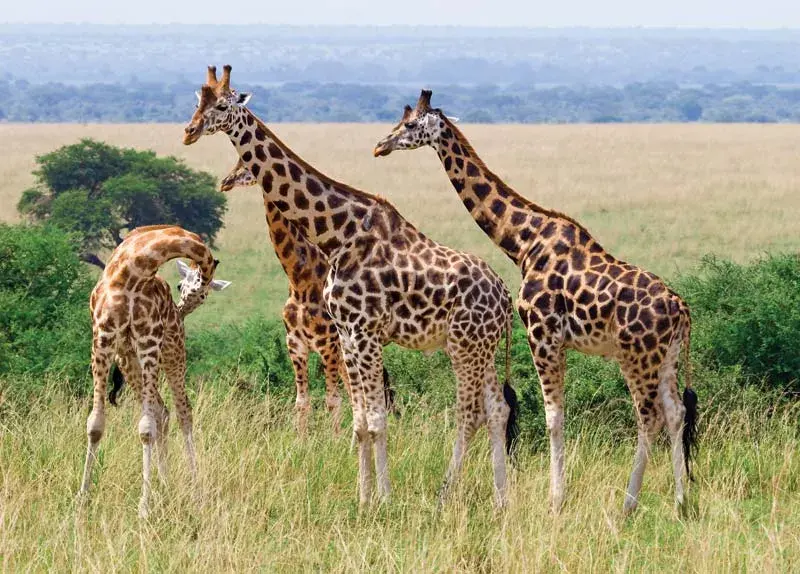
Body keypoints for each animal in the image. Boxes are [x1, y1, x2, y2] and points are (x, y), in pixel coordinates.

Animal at [79, 224, 230, 518]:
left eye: (203, 295)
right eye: (180, 285)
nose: (180, 311)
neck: (133, 271)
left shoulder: (149, 341)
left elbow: (145, 428)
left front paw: (144, 508)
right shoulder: (103, 339)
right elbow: (95, 424)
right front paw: (81, 499)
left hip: (172, 354)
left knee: (183, 413)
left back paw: (195, 493)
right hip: (129, 361)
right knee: (162, 410)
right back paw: (165, 485)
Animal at [219, 158, 397, 433]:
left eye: (245, 165)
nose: (225, 182)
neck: (299, 280)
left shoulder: (328, 344)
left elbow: (332, 400)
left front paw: (335, 439)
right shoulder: (295, 344)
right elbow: (302, 401)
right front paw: (300, 440)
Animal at [373, 90, 698, 515]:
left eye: (410, 124)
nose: (380, 146)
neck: (522, 243)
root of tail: (682, 310)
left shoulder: (542, 334)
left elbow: (553, 417)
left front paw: (555, 500)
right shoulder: (552, 339)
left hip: (635, 355)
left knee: (649, 418)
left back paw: (628, 504)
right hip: (667, 356)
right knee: (675, 413)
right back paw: (681, 501)